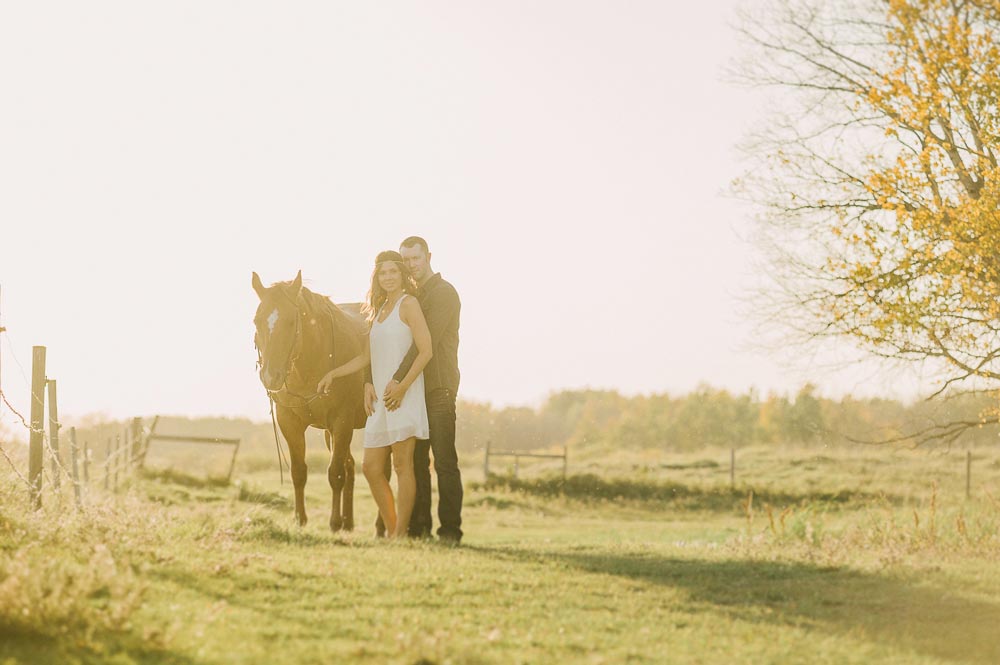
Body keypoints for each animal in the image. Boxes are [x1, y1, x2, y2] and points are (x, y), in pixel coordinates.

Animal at [252, 268, 370, 528]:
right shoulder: (290, 423)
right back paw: (349, 522)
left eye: (291, 321)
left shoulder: (342, 421)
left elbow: (335, 473)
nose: (270, 376)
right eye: (257, 320)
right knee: (351, 467)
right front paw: (300, 519)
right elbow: (298, 471)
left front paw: (334, 523)